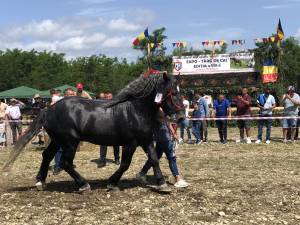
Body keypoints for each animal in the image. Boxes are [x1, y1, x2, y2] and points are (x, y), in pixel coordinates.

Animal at [4, 73, 185, 192]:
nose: (181, 117)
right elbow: (125, 164)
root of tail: (48, 109)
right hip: (69, 142)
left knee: (47, 156)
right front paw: (112, 183)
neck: (135, 110)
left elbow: (154, 159)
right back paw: (83, 185)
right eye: (173, 92)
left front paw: (161, 183)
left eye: (180, 91)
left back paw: (40, 182)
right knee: (65, 163)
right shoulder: (130, 143)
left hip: (57, 140)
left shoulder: (146, 140)